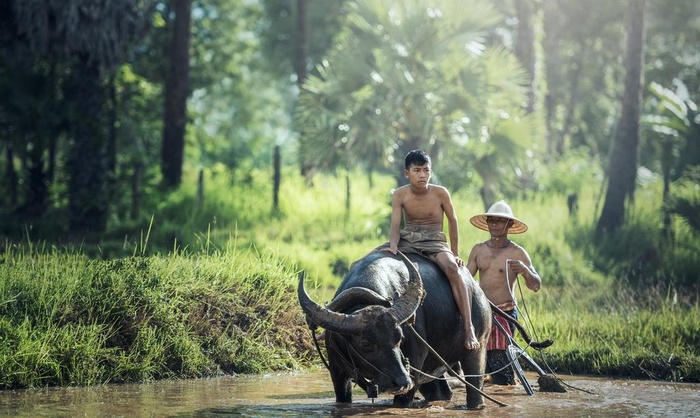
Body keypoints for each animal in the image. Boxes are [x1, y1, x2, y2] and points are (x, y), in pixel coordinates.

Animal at [300, 250, 492, 410]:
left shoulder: (414, 365)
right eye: (365, 343)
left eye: (399, 337)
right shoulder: (337, 373)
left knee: (475, 386)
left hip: (478, 347)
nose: (401, 381)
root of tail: (478, 290)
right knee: (441, 392)